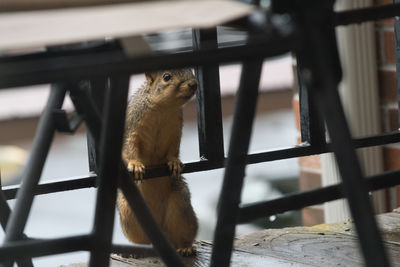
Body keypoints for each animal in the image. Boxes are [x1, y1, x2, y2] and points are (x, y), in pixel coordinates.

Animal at [118, 69, 199, 258]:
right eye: (166, 77)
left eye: (191, 70)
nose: (193, 84)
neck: (163, 108)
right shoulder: (132, 125)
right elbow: (129, 147)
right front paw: (135, 164)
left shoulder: (176, 129)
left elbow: (173, 150)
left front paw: (174, 162)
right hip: (129, 214)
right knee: (143, 241)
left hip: (181, 206)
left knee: (182, 234)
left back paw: (186, 247)